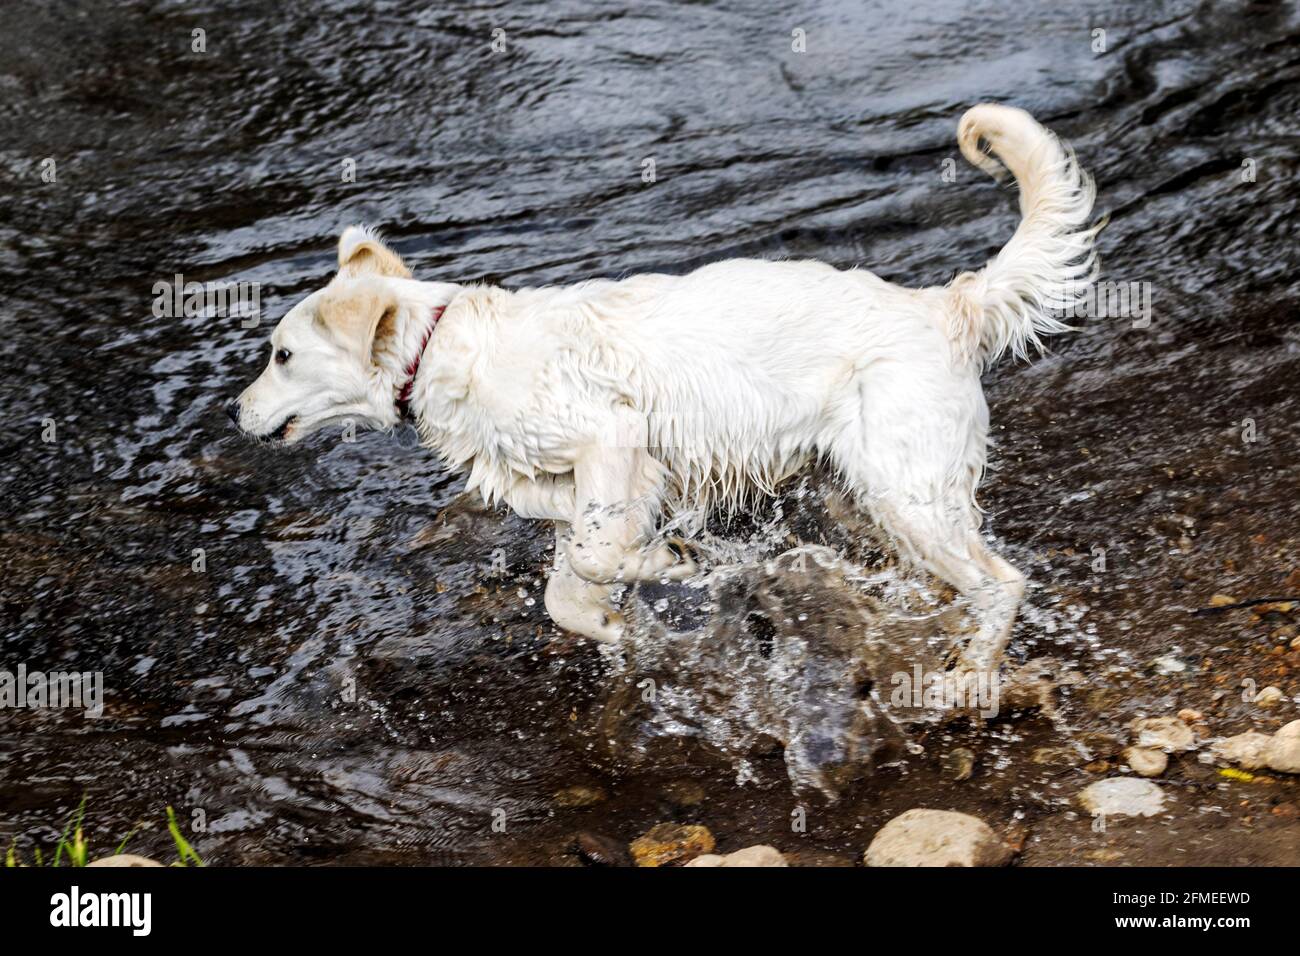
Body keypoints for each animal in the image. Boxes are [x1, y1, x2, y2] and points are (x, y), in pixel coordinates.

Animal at [231, 104, 1097, 681]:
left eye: (281, 355)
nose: (235, 412)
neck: (441, 346)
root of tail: (945, 306)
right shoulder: (591, 488)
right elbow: (568, 591)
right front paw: (618, 624)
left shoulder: (612, 438)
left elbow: (603, 555)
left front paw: (671, 565)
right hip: (884, 491)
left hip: (904, 484)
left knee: (1001, 581)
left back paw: (968, 679)